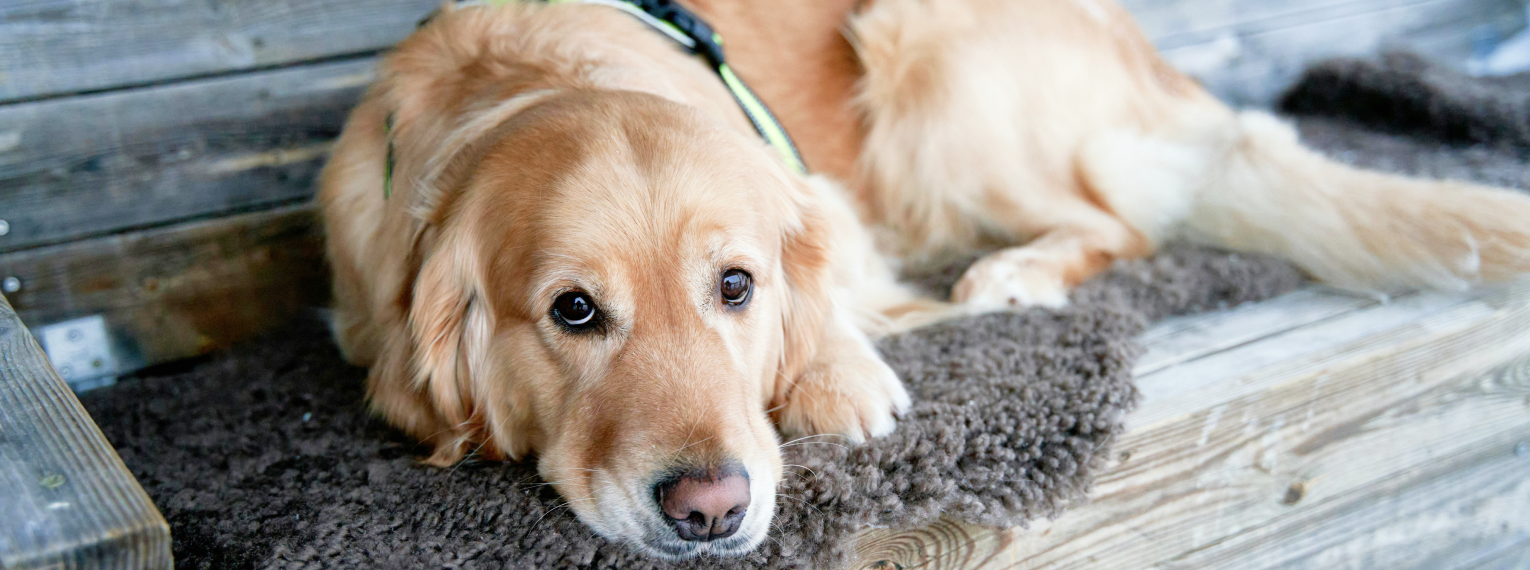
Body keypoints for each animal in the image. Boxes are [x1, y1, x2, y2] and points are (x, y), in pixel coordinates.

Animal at [319, 0, 1530, 559]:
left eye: (736, 287)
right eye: (573, 312)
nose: (711, 509)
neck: (523, 76)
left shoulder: (825, 209)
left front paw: (844, 371)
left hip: (931, 59)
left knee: (1119, 222)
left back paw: (1010, 274)